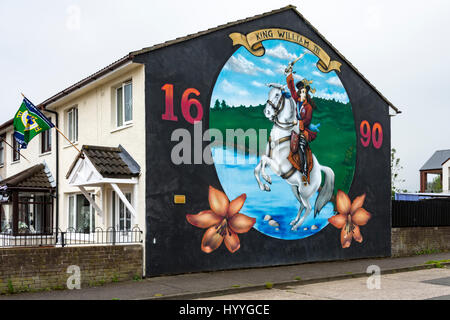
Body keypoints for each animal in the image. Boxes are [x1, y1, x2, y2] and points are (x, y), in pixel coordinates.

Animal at [253, 84, 334, 231]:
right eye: (269, 93)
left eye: (277, 95)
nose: (267, 112)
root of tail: (320, 168)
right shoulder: (269, 160)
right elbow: (257, 166)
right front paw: (264, 187)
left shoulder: (278, 167)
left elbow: (262, 160)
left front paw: (267, 179)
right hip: (295, 189)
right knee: (302, 205)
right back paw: (294, 222)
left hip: (304, 192)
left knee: (308, 208)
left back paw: (296, 226)